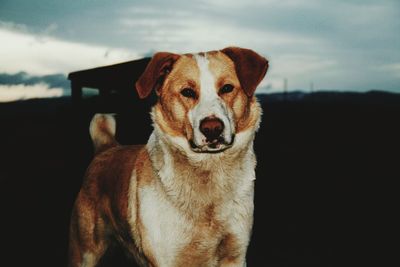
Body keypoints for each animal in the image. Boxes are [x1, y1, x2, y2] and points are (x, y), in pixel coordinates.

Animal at [69, 47, 268, 266]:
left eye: (227, 88)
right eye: (187, 92)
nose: (212, 129)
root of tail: (106, 147)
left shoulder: (235, 256)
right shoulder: (167, 259)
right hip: (84, 253)